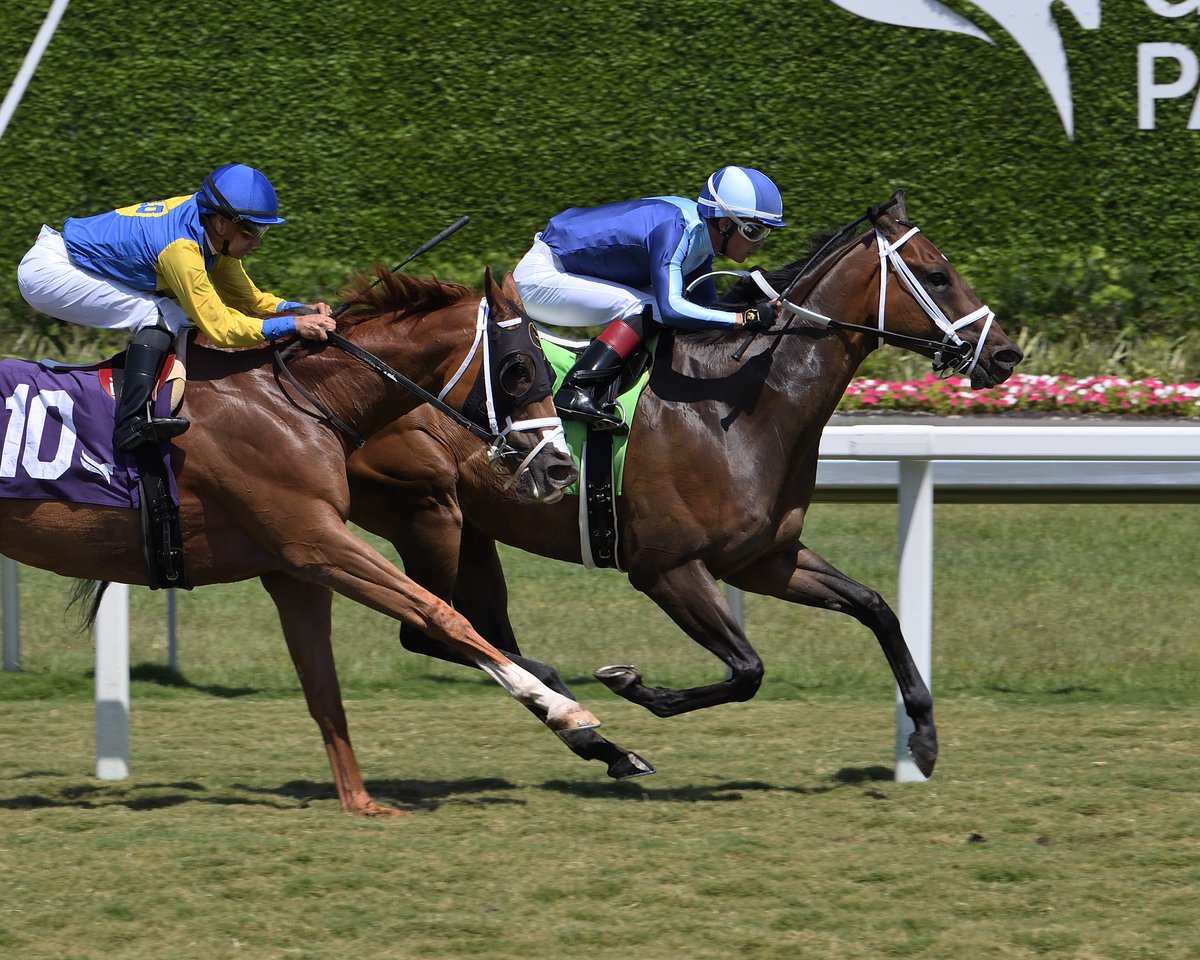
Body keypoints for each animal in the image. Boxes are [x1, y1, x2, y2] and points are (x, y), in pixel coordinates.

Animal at [0, 266, 590, 816]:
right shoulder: (315, 542)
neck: (295, 402)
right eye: (519, 369)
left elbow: (324, 687)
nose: (561, 469)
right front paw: (565, 709)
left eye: (547, 367)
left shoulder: (294, 572)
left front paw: (360, 802)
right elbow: (442, 615)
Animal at [345, 193, 1022, 777]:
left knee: (482, 634)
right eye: (937, 275)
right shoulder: (666, 568)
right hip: (429, 512)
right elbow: (748, 669)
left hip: (473, 532)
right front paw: (633, 684)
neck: (743, 406)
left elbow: (875, 607)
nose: (1006, 355)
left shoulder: (764, 559)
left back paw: (595, 737)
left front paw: (924, 738)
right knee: (433, 629)